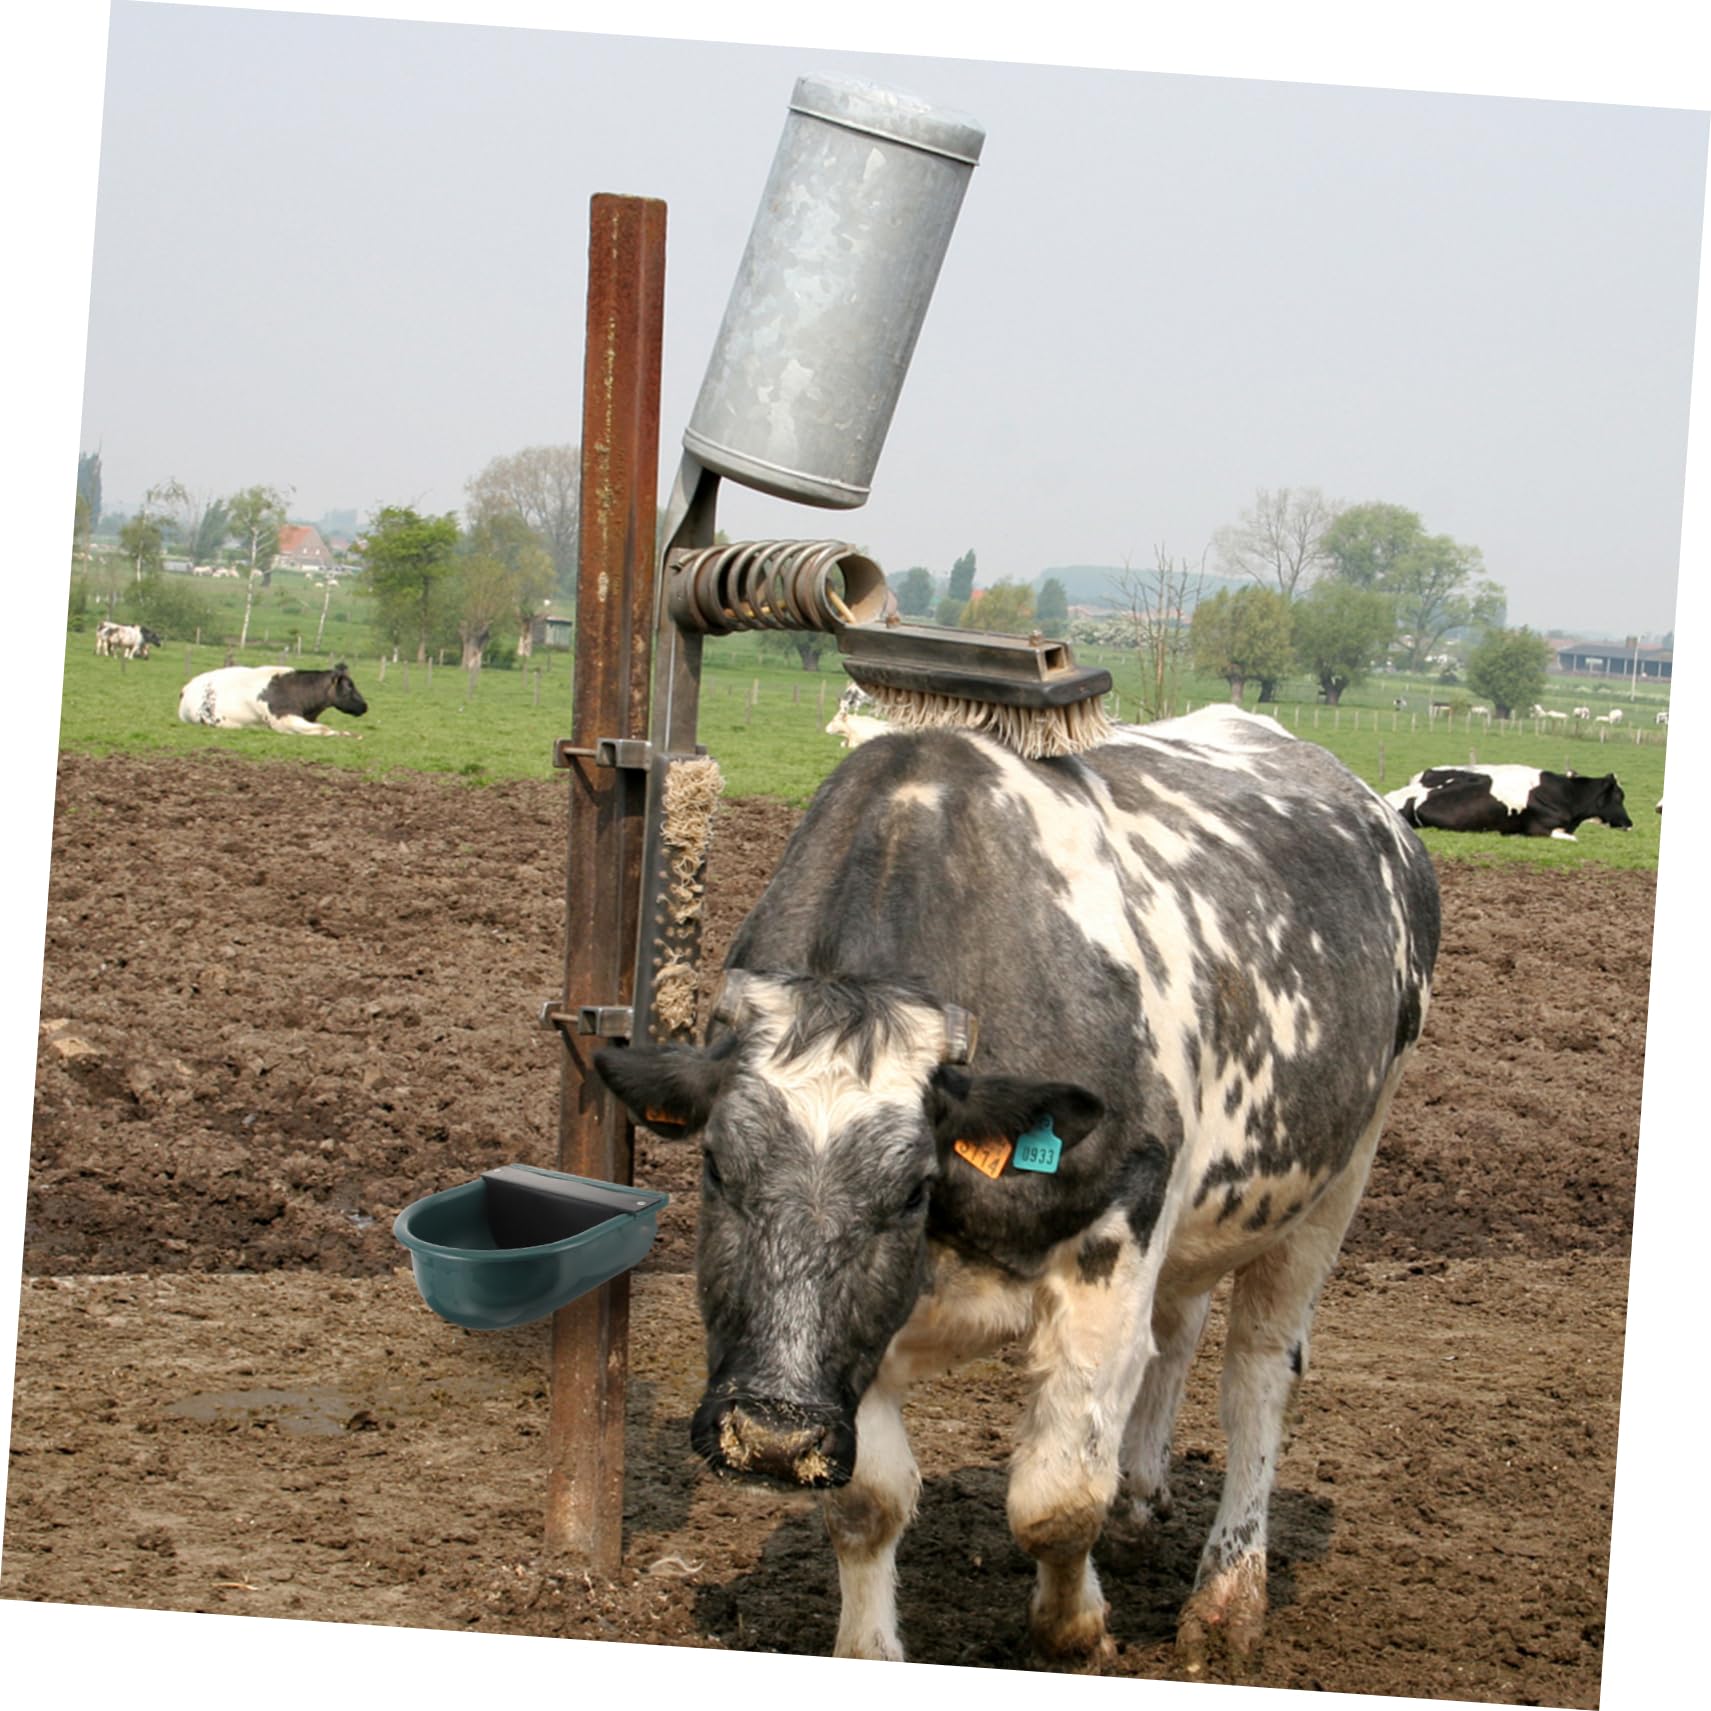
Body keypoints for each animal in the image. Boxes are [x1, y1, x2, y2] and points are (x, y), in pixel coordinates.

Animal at [593, 704, 1439, 1672]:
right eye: (716, 1168)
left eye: (910, 1190)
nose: (771, 1436)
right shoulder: (863, 1333)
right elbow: (867, 1503)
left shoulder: (1113, 1249)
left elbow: (1057, 1499)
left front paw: (1072, 1630)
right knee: (1177, 1331)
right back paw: (1140, 1501)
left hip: (1335, 1179)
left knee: (1257, 1377)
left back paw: (1227, 1597)